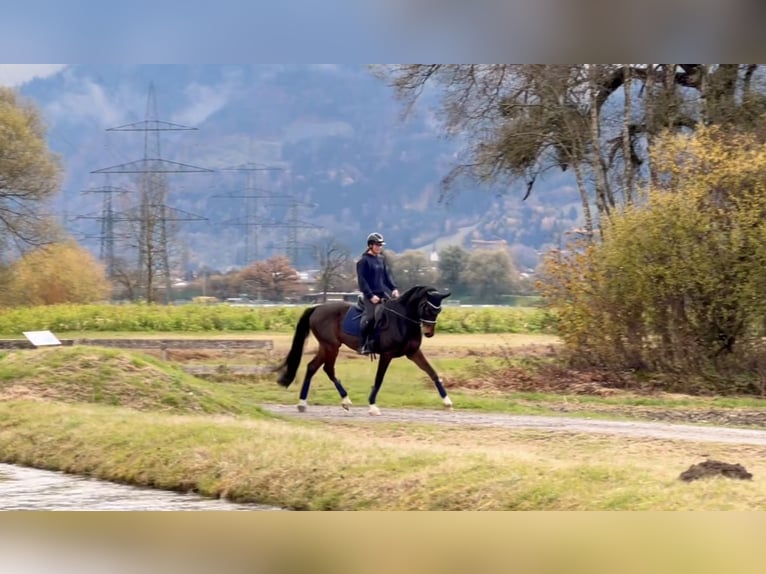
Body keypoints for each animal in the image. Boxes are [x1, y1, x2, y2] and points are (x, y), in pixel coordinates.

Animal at [274, 286, 452, 416]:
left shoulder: (413, 353)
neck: (402, 319)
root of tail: (317, 308)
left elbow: (432, 373)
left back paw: (303, 403)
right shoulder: (387, 355)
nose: (429, 333)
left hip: (326, 347)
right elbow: (379, 379)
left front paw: (447, 402)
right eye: (428, 308)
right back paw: (343, 400)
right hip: (331, 346)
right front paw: (373, 406)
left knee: (313, 367)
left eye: (439, 310)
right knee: (327, 368)